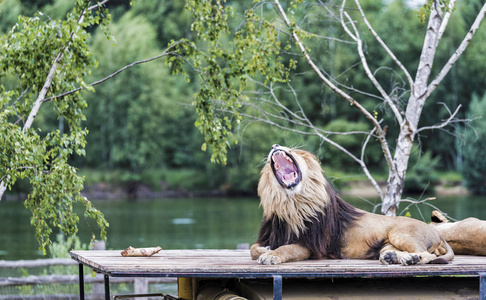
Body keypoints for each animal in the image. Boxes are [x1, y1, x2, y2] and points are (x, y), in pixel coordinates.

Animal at [252, 145, 454, 264]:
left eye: (292, 150)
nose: (275, 146)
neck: (291, 203)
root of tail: (437, 232)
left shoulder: (312, 245)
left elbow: (287, 248)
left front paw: (271, 255)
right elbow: (253, 249)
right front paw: (265, 249)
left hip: (401, 234)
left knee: (429, 255)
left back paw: (411, 259)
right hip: (387, 244)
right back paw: (393, 257)